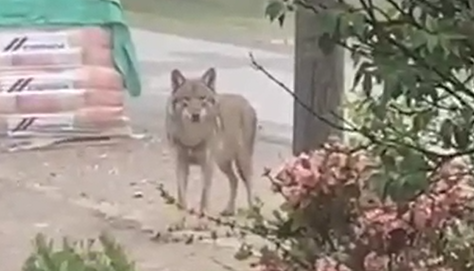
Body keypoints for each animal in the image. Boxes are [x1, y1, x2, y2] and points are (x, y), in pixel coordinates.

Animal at [165, 68, 258, 230]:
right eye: (186, 99)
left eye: (202, 98)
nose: (195, 115)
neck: (192, 136)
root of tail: (245, 101)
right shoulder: (181, 165)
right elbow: (181, 198)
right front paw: (179, 223)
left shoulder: (207, 165)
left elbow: (204, 196)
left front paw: (202, 223)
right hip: (222, 163)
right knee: (234, 180)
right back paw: (229, 210)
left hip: (242, 161)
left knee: (250, 183)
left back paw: (253, 214)